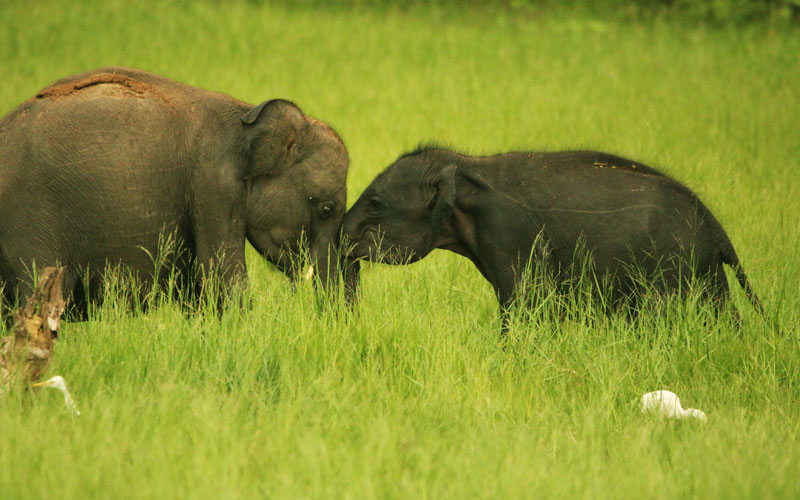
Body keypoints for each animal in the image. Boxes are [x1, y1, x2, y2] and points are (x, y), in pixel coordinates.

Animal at [340, 146, 764, 326]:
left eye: (375, 202)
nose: (342, 243)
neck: (464, 168)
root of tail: (716, 227)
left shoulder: (508, 233)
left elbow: (522, 304)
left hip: (686, 266)